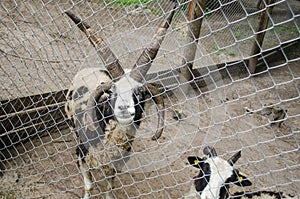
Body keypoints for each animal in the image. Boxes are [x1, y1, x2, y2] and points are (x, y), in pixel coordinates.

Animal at [64, 2, 178, 198]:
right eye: (112, 92)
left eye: (140, 93)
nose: (125, 109)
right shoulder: (82, 154)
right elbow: (89, 185)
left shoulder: (115, 163)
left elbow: (110, 187)